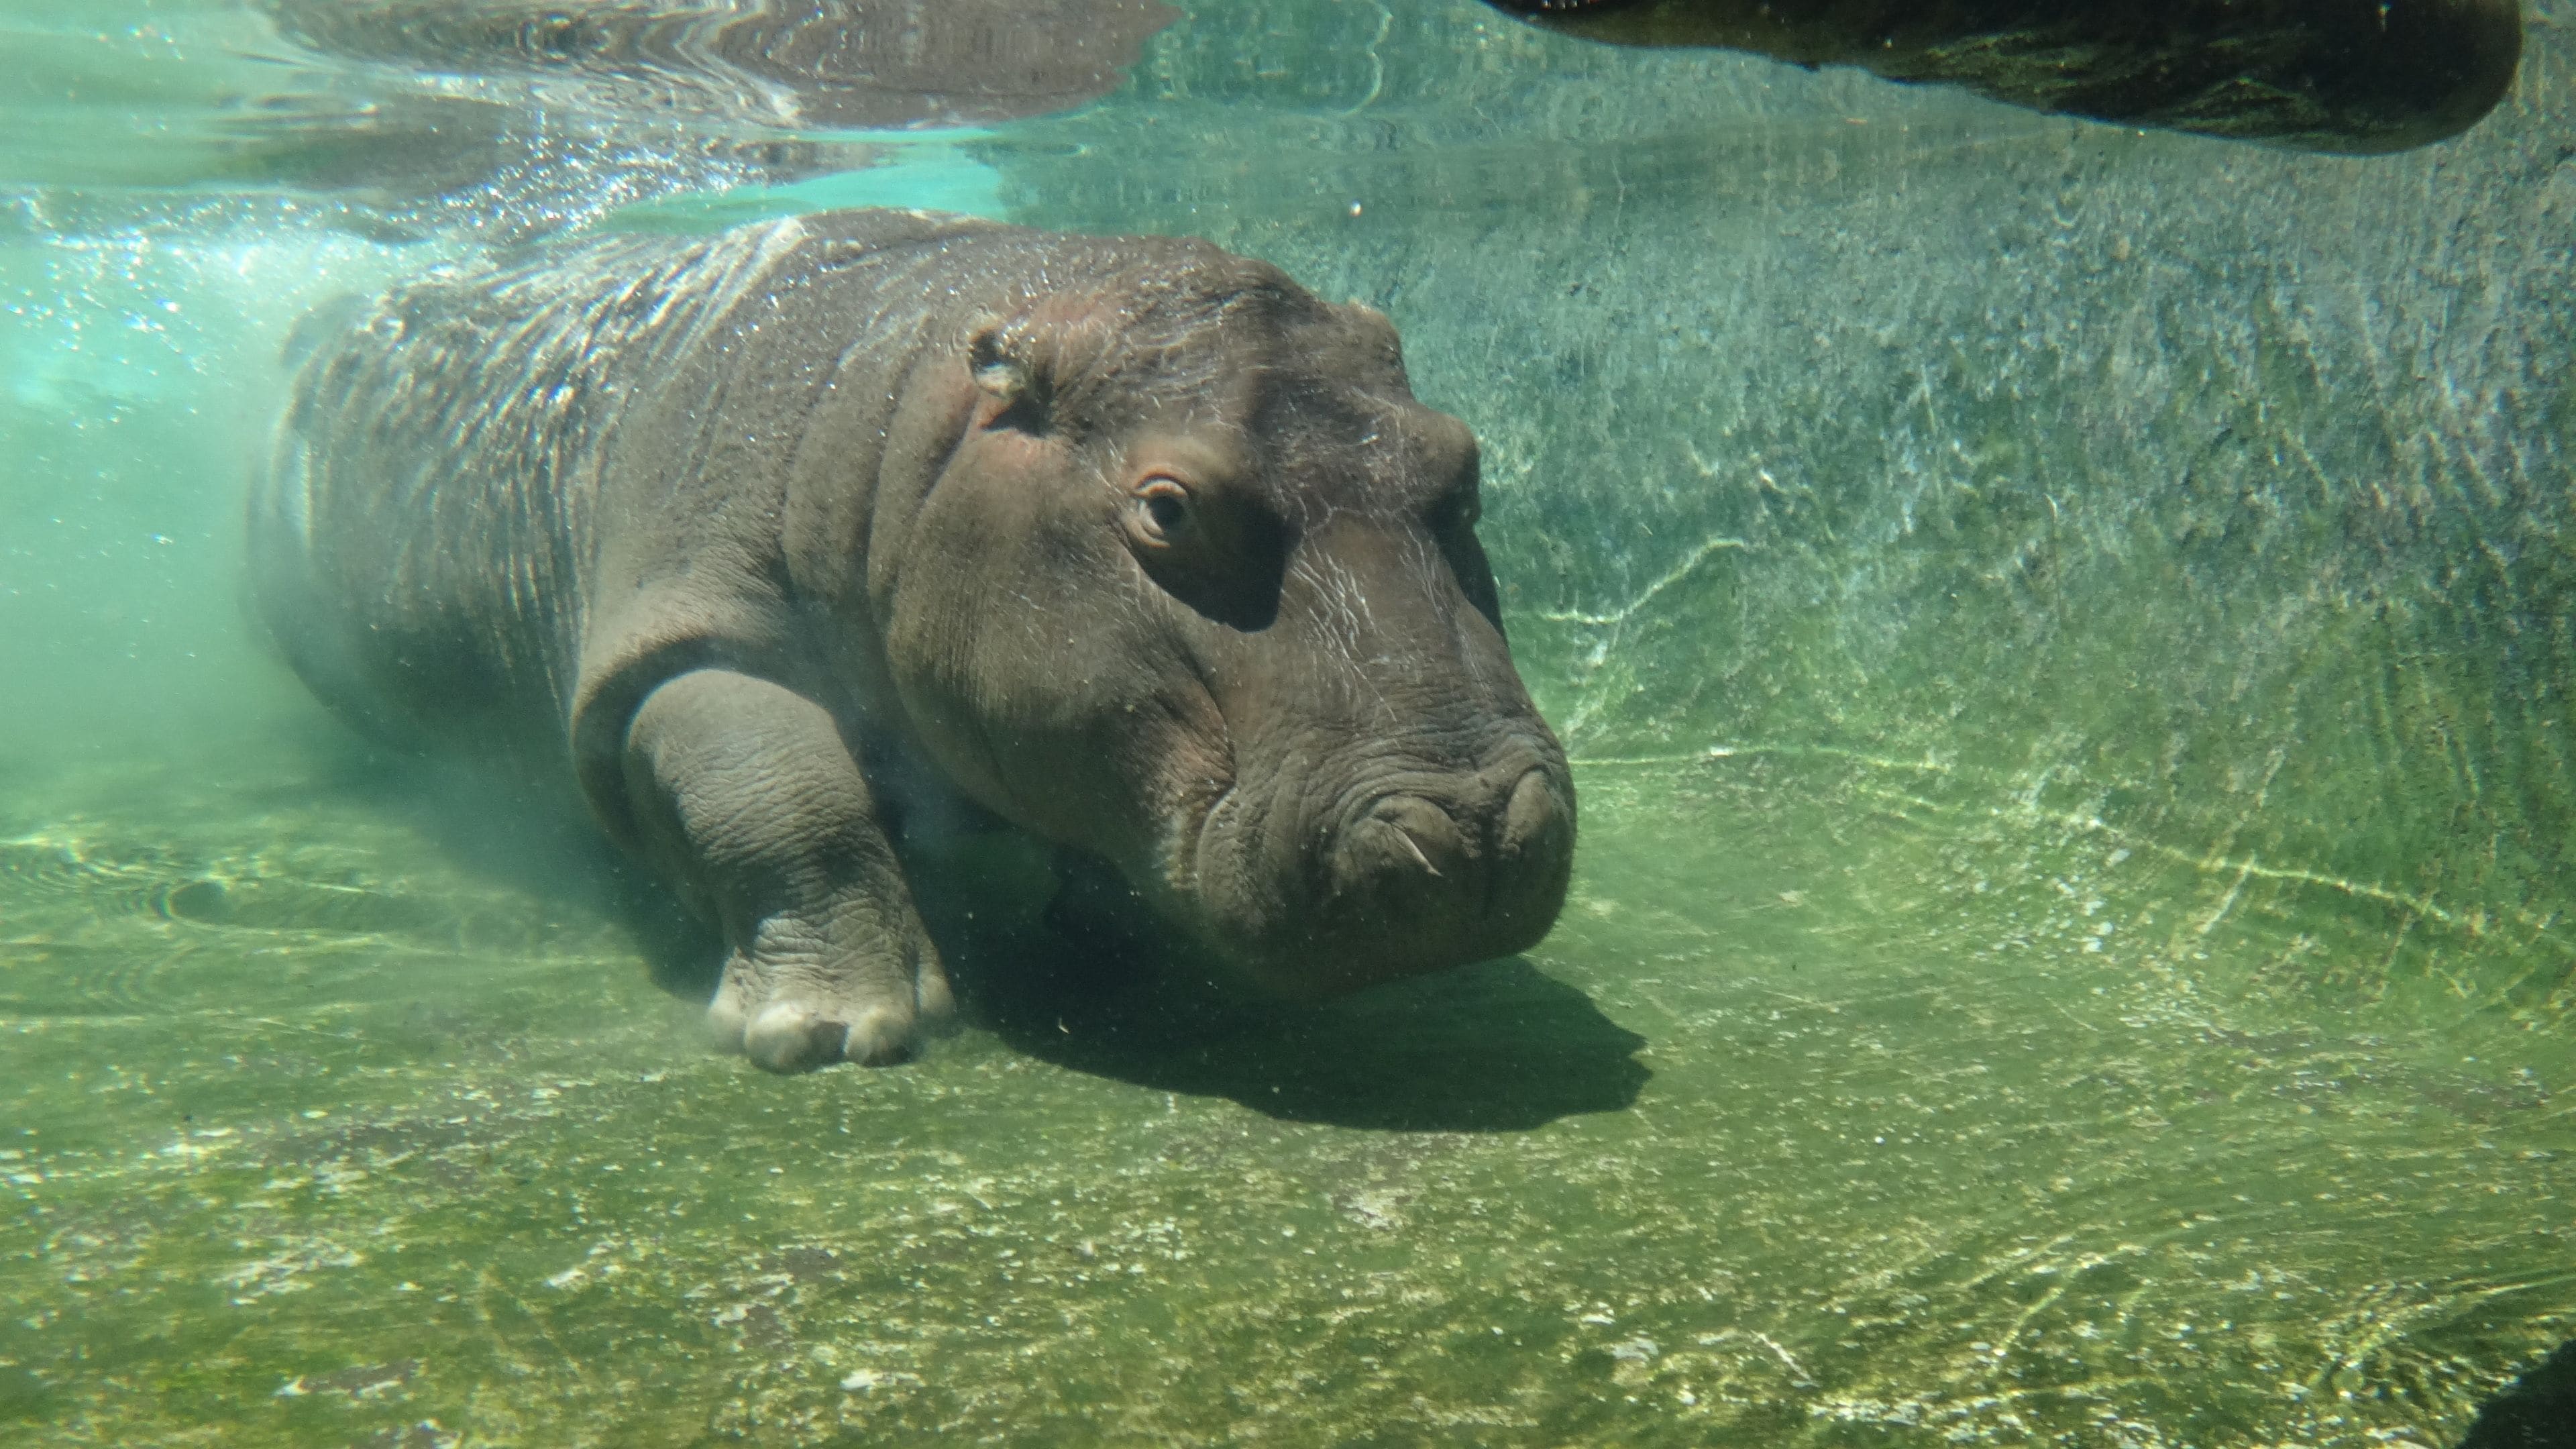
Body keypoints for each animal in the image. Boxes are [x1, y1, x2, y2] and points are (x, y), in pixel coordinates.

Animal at [251, 208, 1576, 1073]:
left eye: (1462, 462)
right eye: (1168, 506)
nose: (1472, 825)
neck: (915, 424)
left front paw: (1117, 940)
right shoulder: (685, 631)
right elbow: (781, 791)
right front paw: (836, 1036)